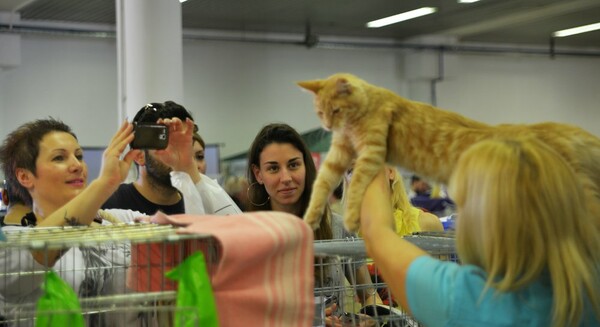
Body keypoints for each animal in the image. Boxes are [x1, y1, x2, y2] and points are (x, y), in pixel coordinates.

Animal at [298, 73, 600, 233]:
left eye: (335, 110)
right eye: (320, 112)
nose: (326, 125)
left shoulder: (371, 153)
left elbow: (357, 185)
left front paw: (350, 218)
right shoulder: (338, 156)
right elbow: (320, 187)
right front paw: (309, 219)